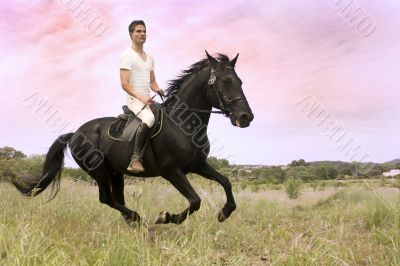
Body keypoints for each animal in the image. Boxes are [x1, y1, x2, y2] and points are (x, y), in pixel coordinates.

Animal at [14, 51, 256, 224]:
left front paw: (224, 213)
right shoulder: (172, 172)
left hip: (115, 172)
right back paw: (137, 218)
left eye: (241, 82)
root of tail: (75, 134)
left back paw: (133, 222)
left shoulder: (198, 165)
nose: (246, 117)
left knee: (116, 199)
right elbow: (195, 201)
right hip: (99, 171)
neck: (183, 124)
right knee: (107, 198)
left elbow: (225, 182)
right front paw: (166, 217)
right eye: (225, 82)